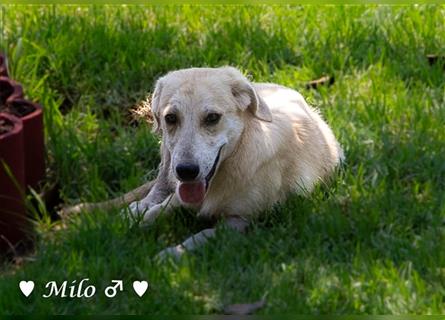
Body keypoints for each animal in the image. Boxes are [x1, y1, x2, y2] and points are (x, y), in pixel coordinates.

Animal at [128, 66, 344, 258]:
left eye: (212, 117)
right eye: (171, 118)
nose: (186, 171)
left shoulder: (243, 221)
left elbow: (202, 235)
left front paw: (172, 254)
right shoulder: (181, 189)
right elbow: (162, 207)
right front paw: (134, 220)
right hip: (167, 153)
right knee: (161, 183)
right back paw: (139, 205)